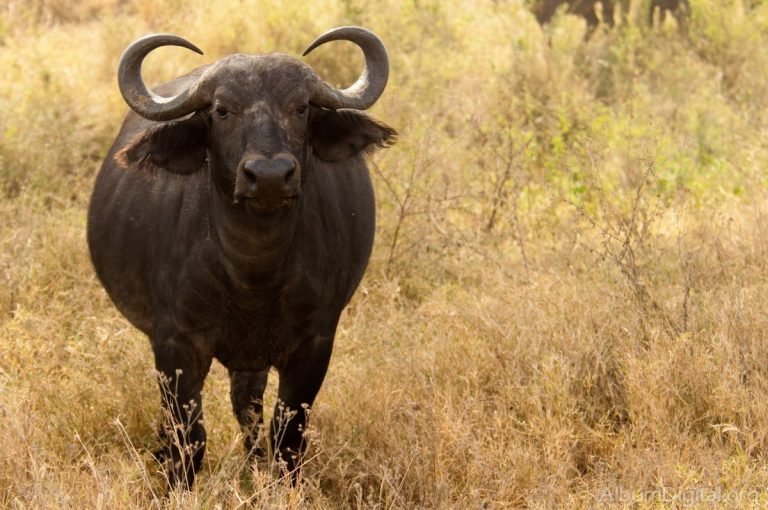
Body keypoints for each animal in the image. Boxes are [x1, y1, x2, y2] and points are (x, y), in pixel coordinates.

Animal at [87, 27, 396, 487]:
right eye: (221, 110)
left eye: (301, 107)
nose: (268, 176)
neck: (252, 273)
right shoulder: (175, 343)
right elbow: (189, 437)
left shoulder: (314, 343)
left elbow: (287, 436)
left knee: (247, 406)